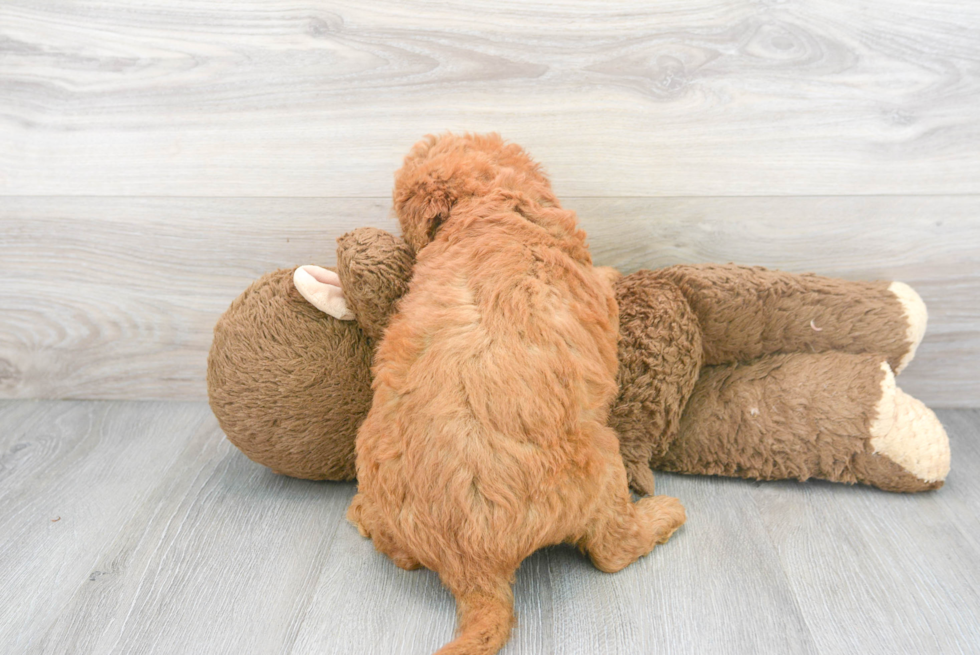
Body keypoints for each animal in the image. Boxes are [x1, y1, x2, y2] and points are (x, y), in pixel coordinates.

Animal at [348, 135, 684, 655]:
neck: (483, 210)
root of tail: (473, 570)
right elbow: (604, 284)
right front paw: (614, 271)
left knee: (396, 550)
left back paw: (361, 514)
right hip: (601, 463)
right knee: (611, 550)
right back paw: (664, 515)